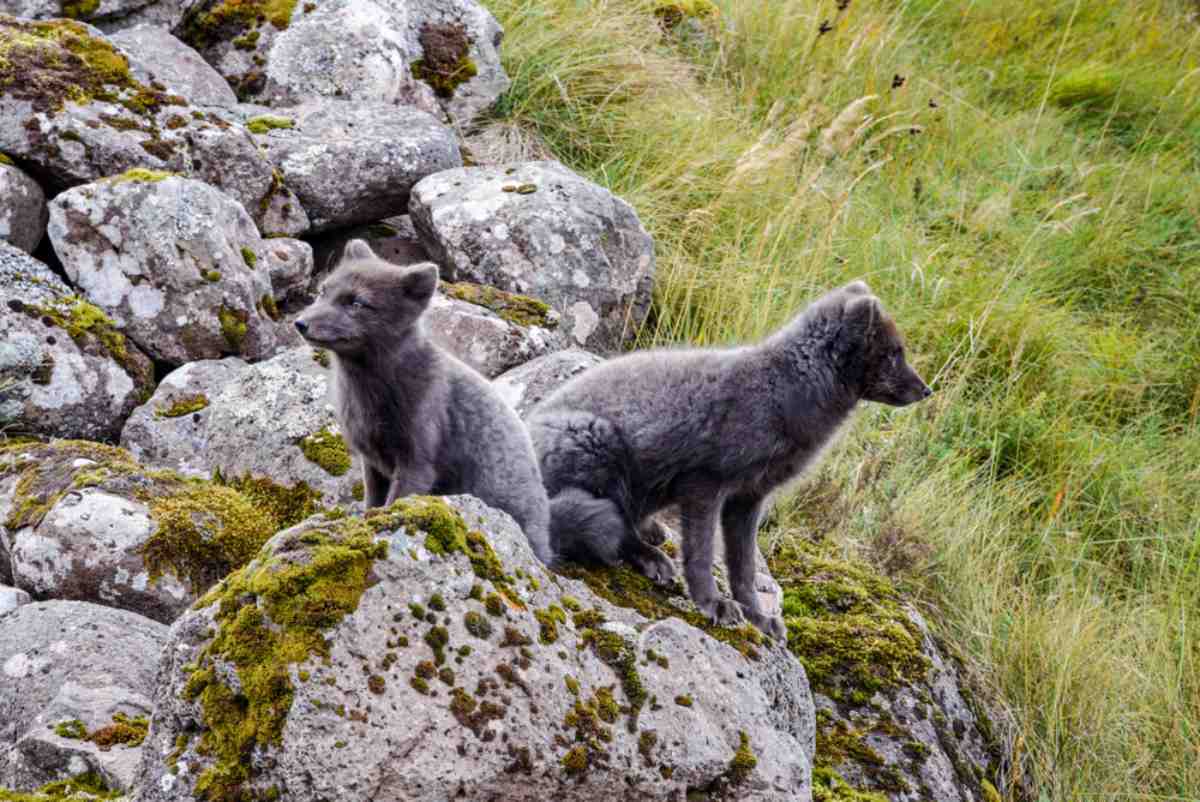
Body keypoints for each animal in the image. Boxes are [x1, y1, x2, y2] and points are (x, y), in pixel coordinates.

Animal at [294, 239, 553, 564]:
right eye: (322, 291)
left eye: (356, 303)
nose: (300, 323)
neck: (371, 394)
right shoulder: (372, 462)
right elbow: (373, 502)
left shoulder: (417, 462)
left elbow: (395, 502)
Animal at [526, 281, 932, 638]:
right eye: (893, 354)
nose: (927, 390)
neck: (780, 390)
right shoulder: (704, 484)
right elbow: (702, 554)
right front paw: (712, 603)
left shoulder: (749, 498)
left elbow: (744, 568)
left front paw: (757, 616)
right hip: (598, 444)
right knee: (612, 526)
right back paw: (651, 557)